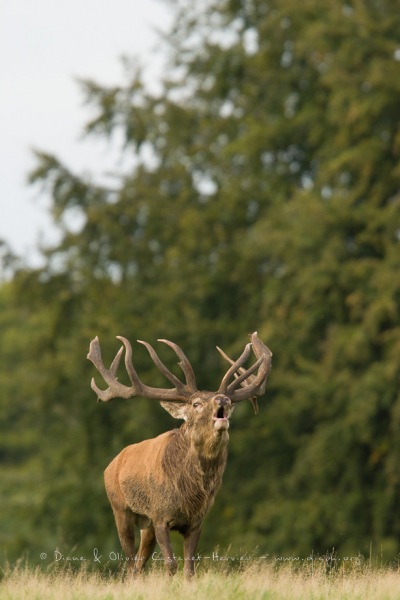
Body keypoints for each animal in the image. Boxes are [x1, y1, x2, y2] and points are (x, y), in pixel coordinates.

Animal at [87, 330, 272, 580]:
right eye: (196, 404)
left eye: (228, 400)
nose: (223, 399)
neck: (189, 495)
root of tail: (111, 465)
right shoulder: (160, 515)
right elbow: (171, 564)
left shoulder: (196, 521)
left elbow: (189, 569)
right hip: (120, 508)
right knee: (130, 564)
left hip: (146, 524)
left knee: (139, 563)